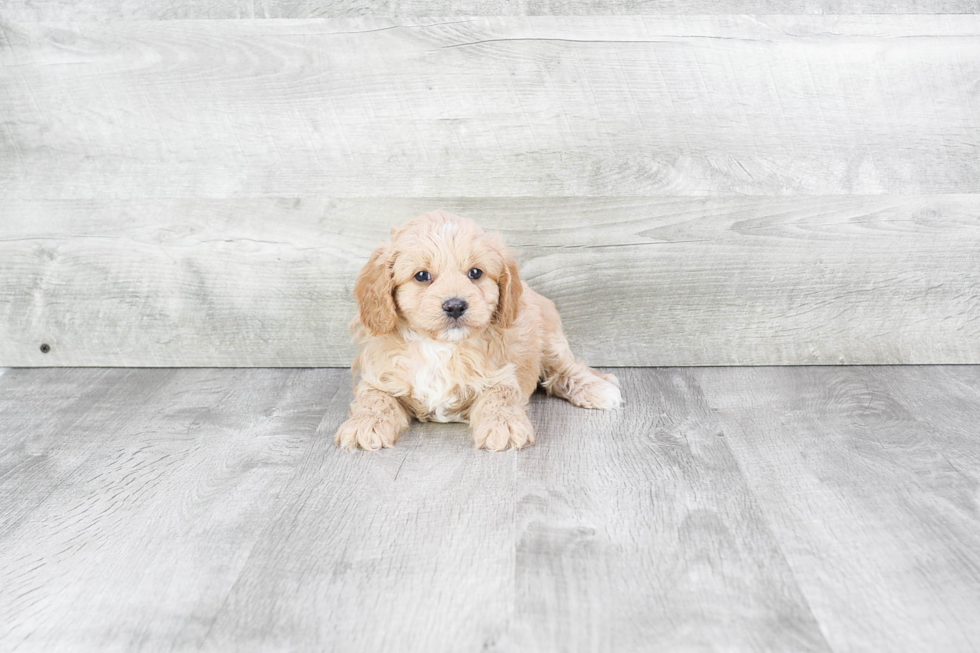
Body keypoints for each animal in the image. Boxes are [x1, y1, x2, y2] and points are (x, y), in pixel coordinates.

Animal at [334, 211, 624, 450]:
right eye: (422, 276)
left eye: (475, 273)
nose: (455, 305)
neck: (440, 347)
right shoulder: (379, 377)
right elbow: (374, 399)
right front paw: (364, 425)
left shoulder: (501, 374)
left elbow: (500, 397)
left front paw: (503, 426)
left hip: (550, 341)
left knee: (567, 368)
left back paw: (598, 389)